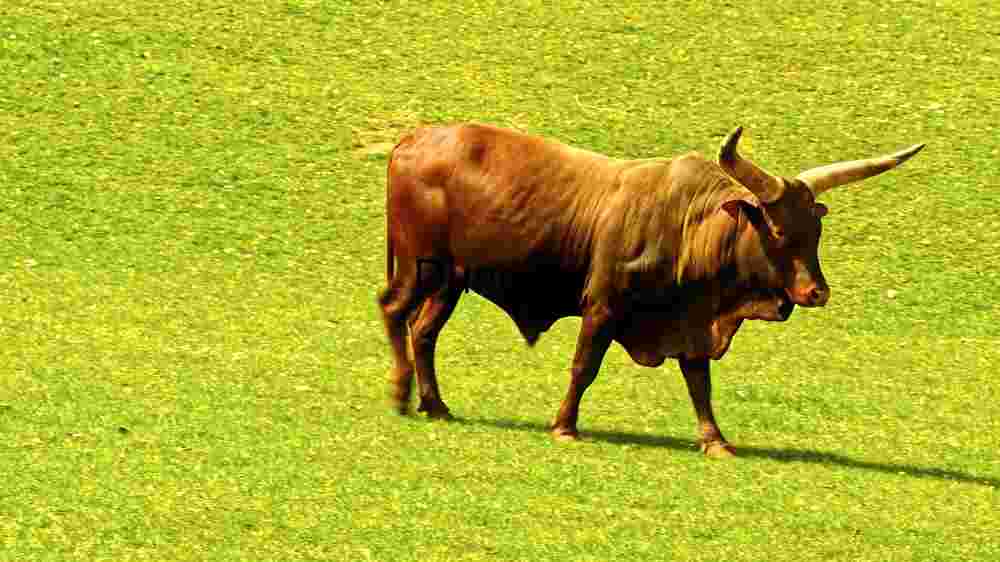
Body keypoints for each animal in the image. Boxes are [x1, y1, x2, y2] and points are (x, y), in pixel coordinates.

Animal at [376, 123, 923, 457]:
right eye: (778, 230)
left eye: (816, 231)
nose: (816, 292)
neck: (689, 226)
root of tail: (414, 139)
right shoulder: (601, 307)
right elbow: (584, 367)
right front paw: (565, 426)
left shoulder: (693, 322)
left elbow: (700, 384)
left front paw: (715, 440)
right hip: (420, 267)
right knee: (394, 310)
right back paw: (402, 396)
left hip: (451, 280)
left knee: (424, 332)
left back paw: (436, 406)